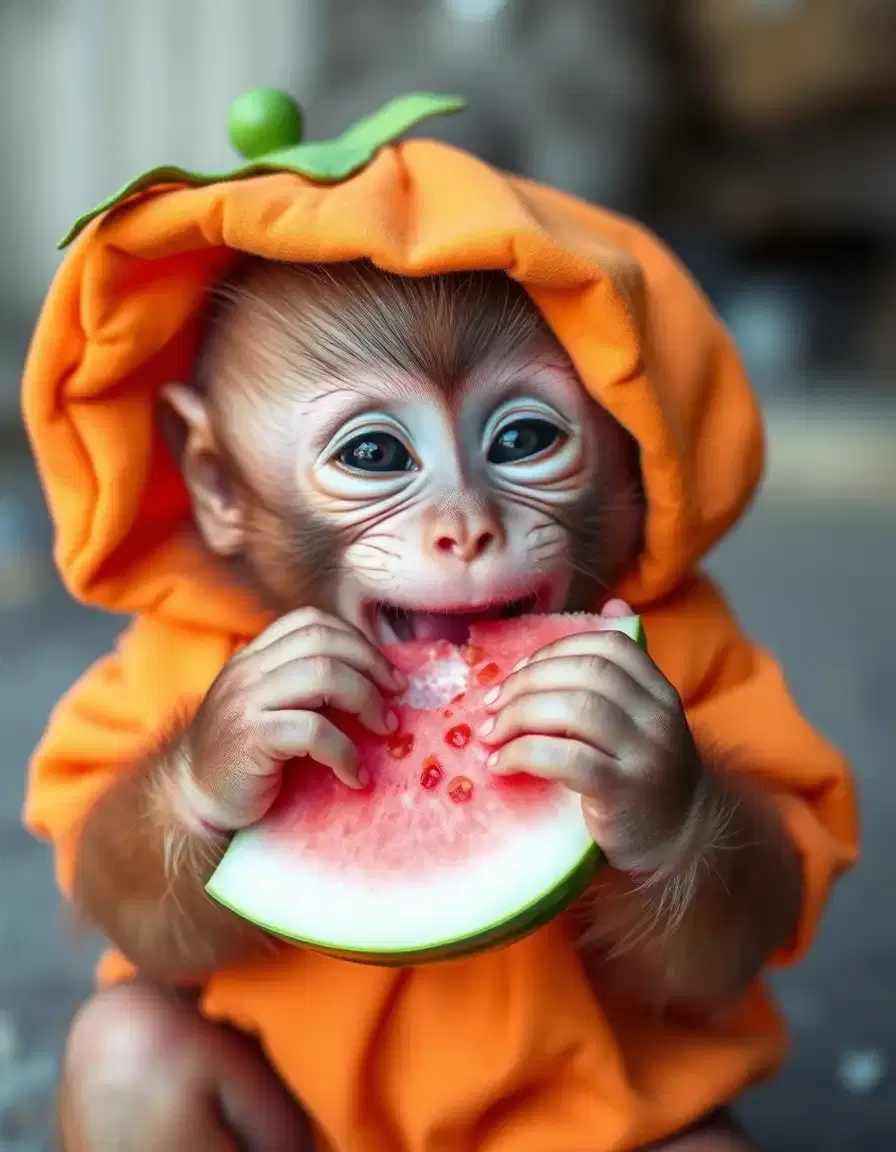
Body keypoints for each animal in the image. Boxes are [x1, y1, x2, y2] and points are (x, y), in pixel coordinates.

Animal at [51, 259, 805, 1152]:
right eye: (375, 453)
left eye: (522, 440)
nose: (468, 532)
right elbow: (124, 894)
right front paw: (230, 739)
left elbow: (750, 912)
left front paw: (644, 762)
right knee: (134, 1046)